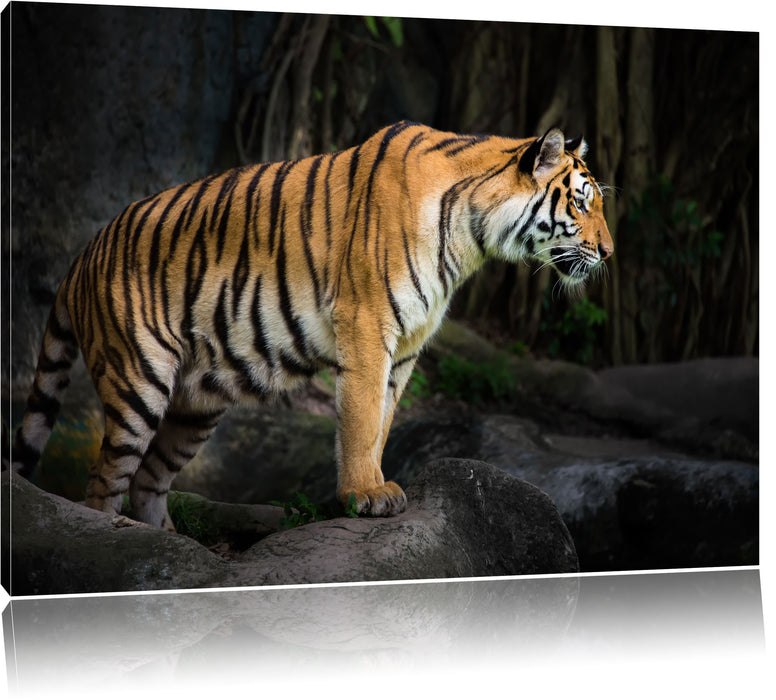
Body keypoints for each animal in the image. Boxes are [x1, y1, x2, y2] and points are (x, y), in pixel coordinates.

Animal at [5, 120, 612, 529]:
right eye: (582, 204)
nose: (608, 252)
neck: (472, 236)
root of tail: (82, 255)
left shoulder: (408, 345)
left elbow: (383, 421)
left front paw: (374, 484)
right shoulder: (367, 324)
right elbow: (361, 418)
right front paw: (366, 495)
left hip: (196, 403)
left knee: (149, 482)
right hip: (138, 381)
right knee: (103, 484)